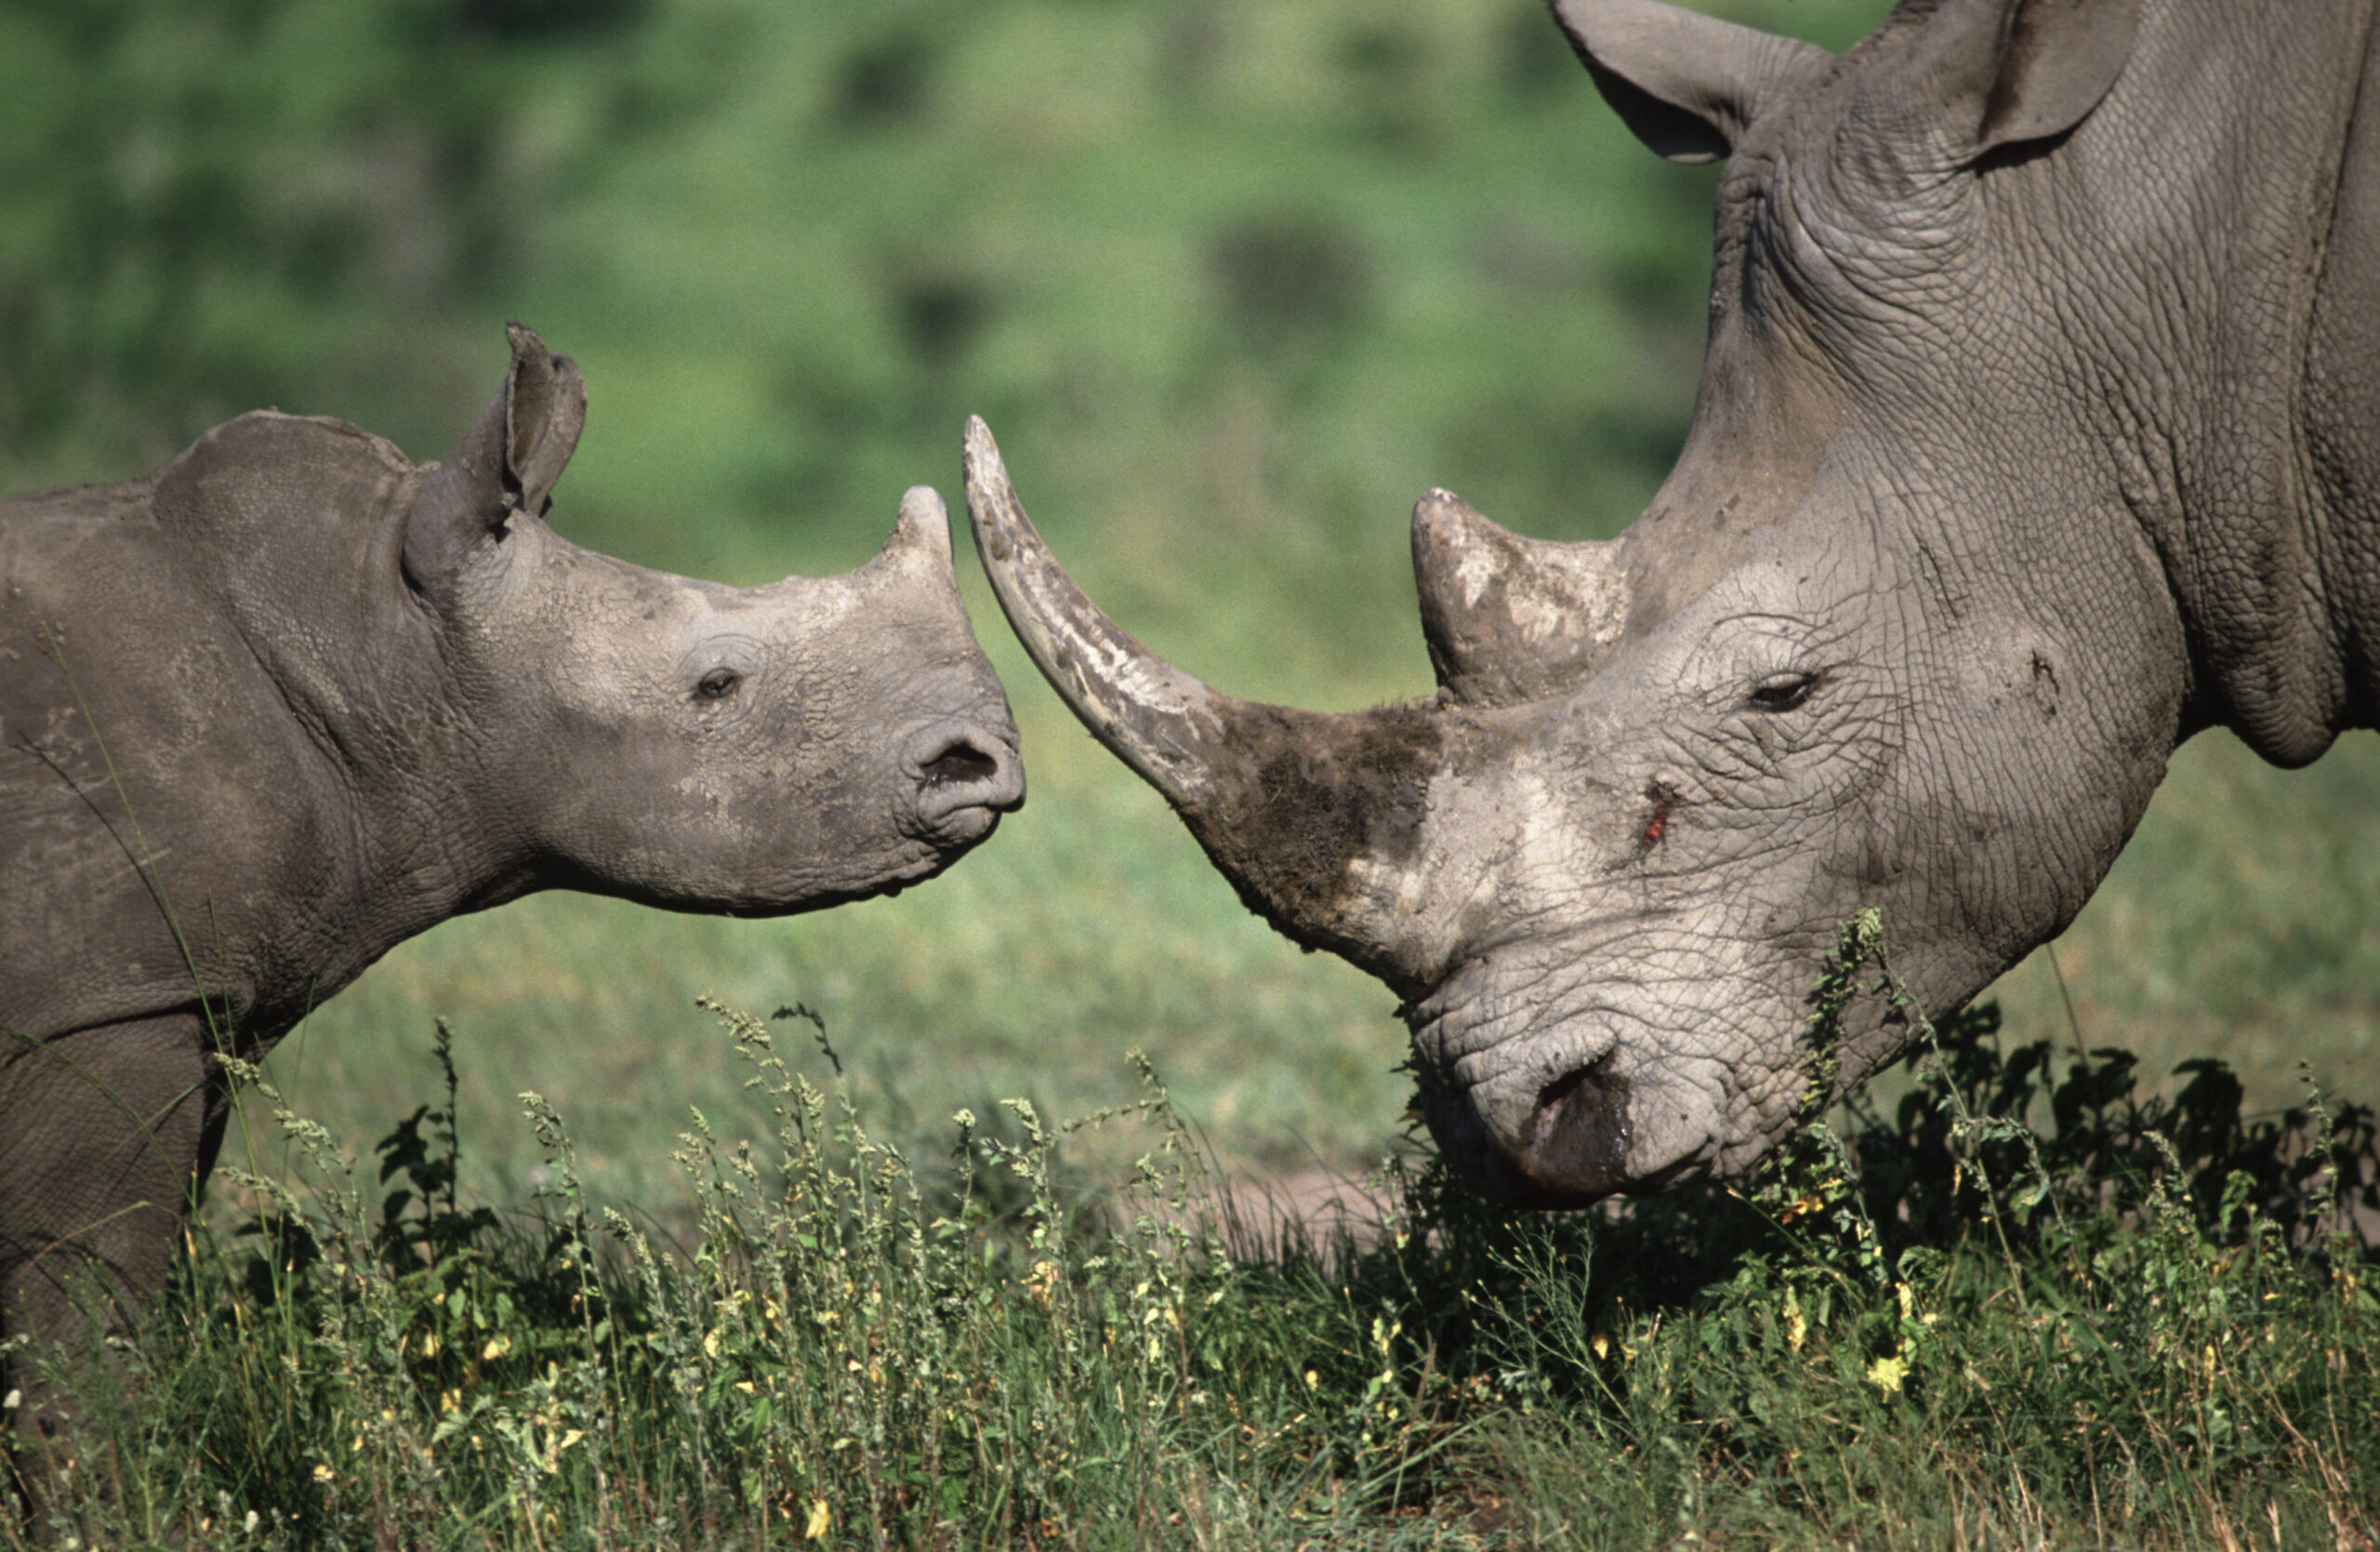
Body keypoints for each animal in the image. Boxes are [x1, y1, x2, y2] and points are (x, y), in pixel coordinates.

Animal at [2, 328, 1023, 1418]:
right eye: (716, 685)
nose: (979, 761)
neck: (383, 645)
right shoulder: (110, 1002)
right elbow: (83, 1316)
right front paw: (105, 1468)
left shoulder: (188, 995)